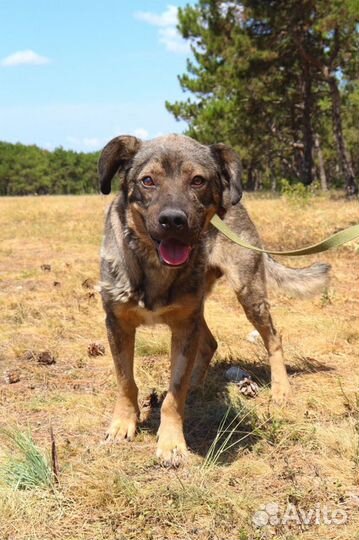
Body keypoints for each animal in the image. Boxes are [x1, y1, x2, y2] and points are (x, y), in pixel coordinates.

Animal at [99, 133, 332, 466]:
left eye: (197, 180)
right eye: (147, 180)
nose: (173, 220)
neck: (153, 265)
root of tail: (234, 203)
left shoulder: (184, 326)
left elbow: (173, 394)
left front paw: (172, 442)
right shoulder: (118, 323)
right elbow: (126, 381)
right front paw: (123, 424)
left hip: (247, 293)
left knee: (273, 337)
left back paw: (280, 388)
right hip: (198, 308)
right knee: (209, 343)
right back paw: (197, 384)